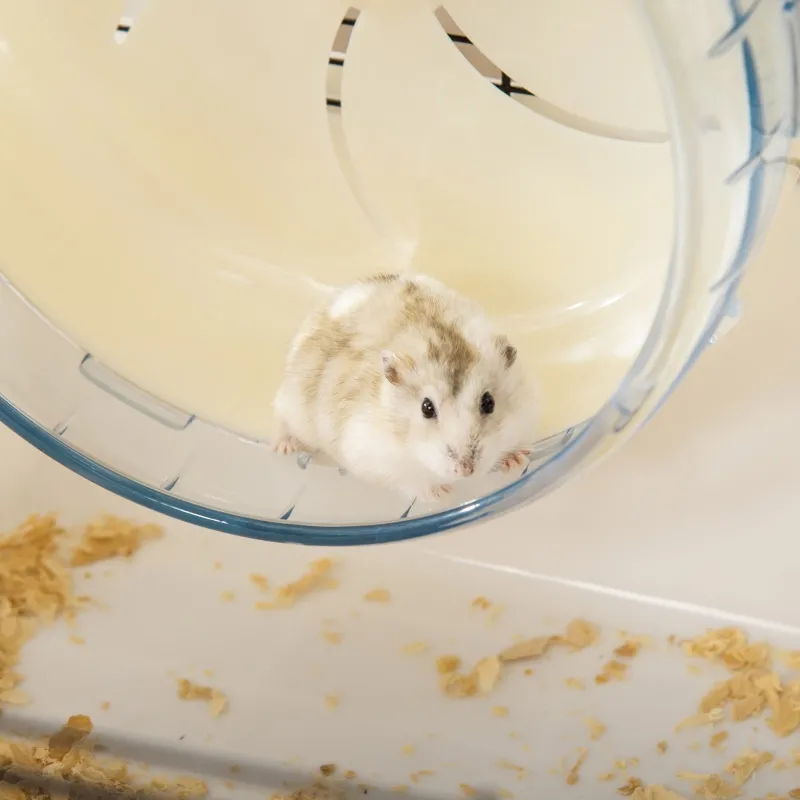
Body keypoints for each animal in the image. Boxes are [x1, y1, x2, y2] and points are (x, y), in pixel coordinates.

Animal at [272, 273, 536, 502]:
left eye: (489, 403)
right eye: (426, 408)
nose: (466, 471)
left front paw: (517, 460)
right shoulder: (375, 458)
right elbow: (413, 482)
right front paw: (442, 493)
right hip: (291, 404)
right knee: (281, 419)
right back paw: (283, 448)